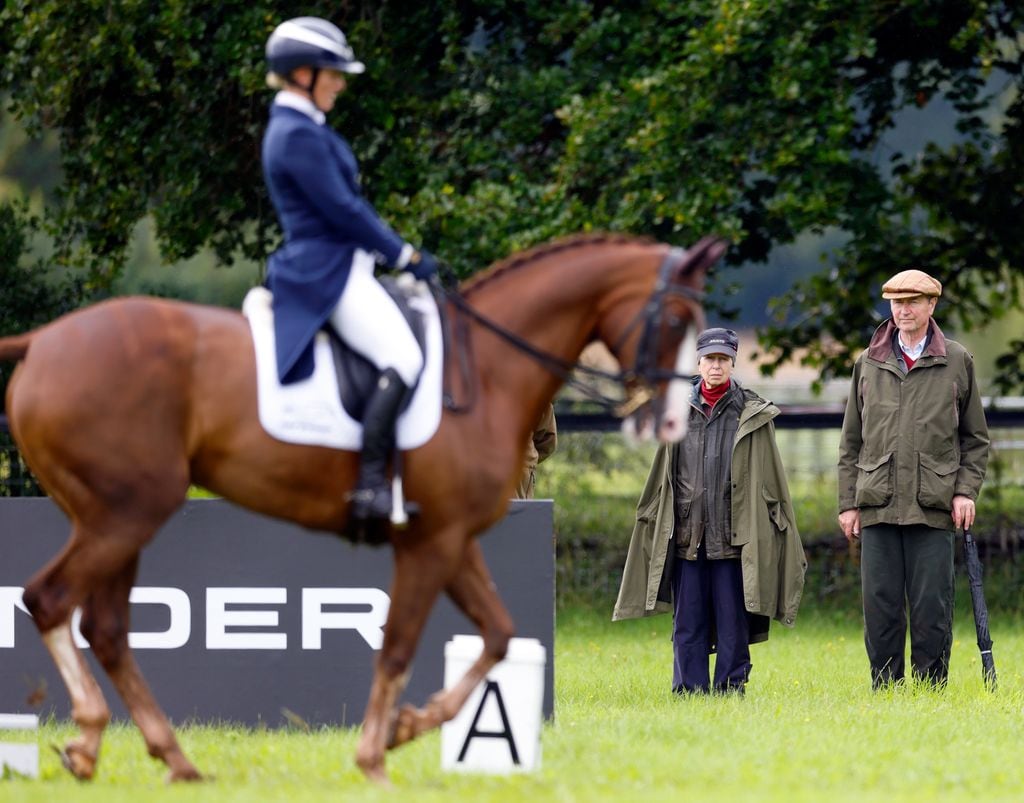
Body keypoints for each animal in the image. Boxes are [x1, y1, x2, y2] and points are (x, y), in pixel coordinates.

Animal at [0, 232, 720, 782]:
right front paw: (376, 754)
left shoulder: (452, 540)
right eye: (674, 320)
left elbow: (497, 634)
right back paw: (103, 739)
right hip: (124, 514)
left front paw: (408, 726)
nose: (668, 420)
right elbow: (397, 646)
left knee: (105, 627)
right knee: (52, 600)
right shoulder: (431, 543)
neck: (486, 369)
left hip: (118, 518)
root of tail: (46, 342)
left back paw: (153, 755)